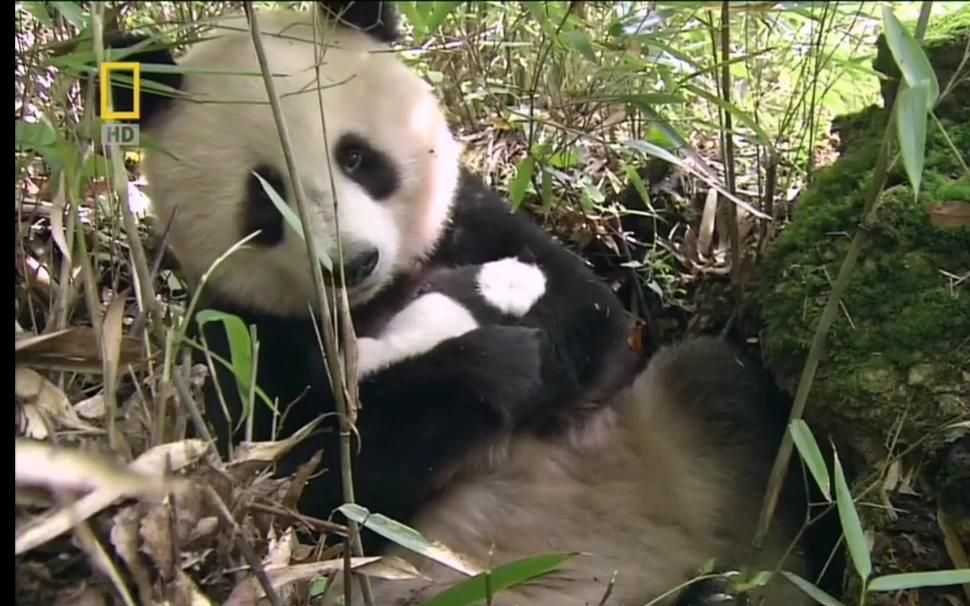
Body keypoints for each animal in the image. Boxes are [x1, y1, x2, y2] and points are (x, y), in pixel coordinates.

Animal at [98, 2, 812, 604]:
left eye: (356, 157)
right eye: (264, 195)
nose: (353, 262)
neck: (370, 308)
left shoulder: (473, 220)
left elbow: (596, 317)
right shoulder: (231, 329)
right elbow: (302, 476)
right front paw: (483, 365)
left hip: (671, 443)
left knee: (721, 395)